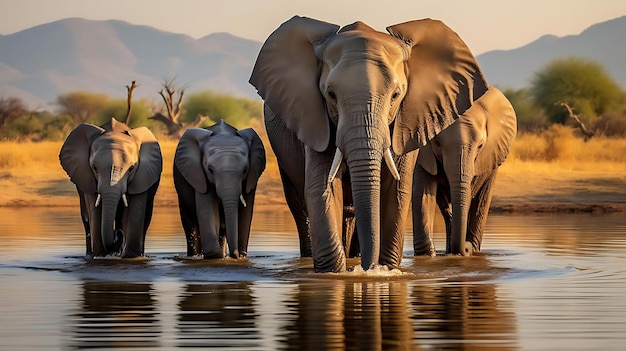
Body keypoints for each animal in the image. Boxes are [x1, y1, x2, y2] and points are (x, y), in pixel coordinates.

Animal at [58, 118, 162, 258]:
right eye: (95, 168)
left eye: (131, 168)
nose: (117, 233)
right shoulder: (87, 175)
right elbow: (94, 211)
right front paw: (100, 256)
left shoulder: (143, 174)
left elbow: (136, 210)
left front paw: (131, 257)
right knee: (86, 219)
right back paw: (90, 254)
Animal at [173, 119, 266, 260]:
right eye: (210, 170)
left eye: (245, 170)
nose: (235, 254)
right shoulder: (199, 175)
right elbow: (209, 211)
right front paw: (217, 256)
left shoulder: (252, 177)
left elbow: (245, 214)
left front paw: (241, 257)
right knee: (191, 226)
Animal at [249, 15, 488, 274]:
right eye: (330, 94)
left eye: (396, 95)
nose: (368, 268)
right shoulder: (314, 117)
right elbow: (322, 188)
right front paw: (337, 274)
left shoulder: (407, 121)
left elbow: (397, 191)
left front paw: (385, 271)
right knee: (300, 205)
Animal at [410, 88, 516, 258]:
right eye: (437, 143)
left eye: (480, 146)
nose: (465, 249)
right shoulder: (423, 153)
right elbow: (423, 194)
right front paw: (428, 256)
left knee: (481, 201)